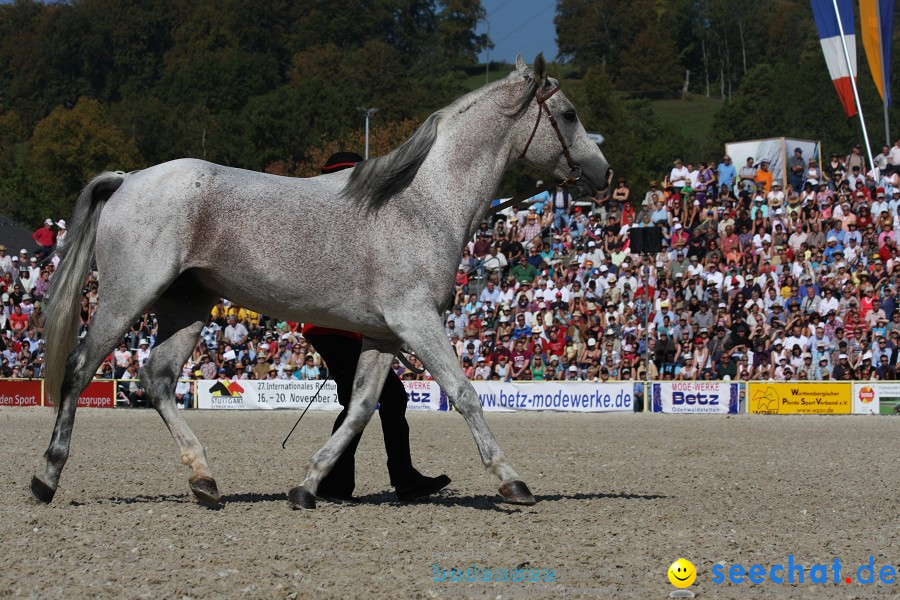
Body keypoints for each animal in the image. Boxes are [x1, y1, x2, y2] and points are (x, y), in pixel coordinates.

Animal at [33, 54, 612, 508]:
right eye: (568, 114)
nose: (603, 174)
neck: (422, 204)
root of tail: (129, 178)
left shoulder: (383, 334)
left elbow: (360, 411)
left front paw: (308, 485)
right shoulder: (418, 321)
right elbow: (464, 393)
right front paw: (512, 479)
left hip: (188, 305)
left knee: (156, 379)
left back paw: (204, 479)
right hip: (129, 296)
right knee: (80, 368)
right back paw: (47, 477)